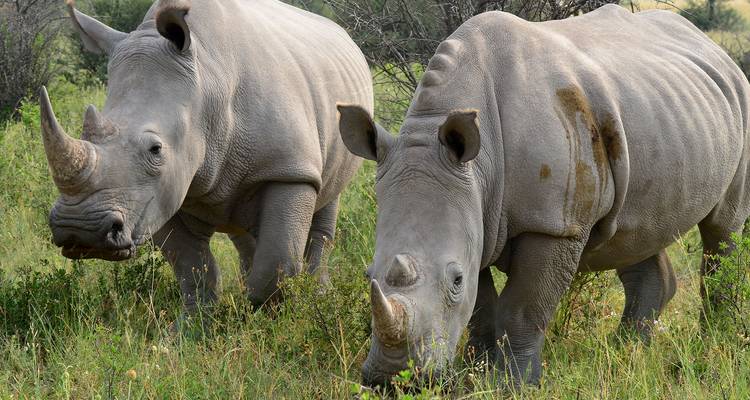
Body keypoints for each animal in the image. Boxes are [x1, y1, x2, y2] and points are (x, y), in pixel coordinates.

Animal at [40, 0, 372, 317]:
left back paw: (319, 296)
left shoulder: (289, 170)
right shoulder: (160, 195)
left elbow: (276, 265)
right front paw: (191, 327)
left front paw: (264, 321)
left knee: (326, 204)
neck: (208, 87)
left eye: (155, 149)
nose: (79, 229)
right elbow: (193, 270)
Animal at [338, 4, 750, 386]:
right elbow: (481, 306)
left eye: (455, 280)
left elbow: (522, 307)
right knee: (635, 231)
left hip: (738, 100)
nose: (392, 380)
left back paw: (712, 342)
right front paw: (474, 373)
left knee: (722, 229)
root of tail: (713, 47)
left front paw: (511, 383)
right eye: (368, 274)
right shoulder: (476, 211)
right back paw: (625, 352)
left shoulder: (554, 224)